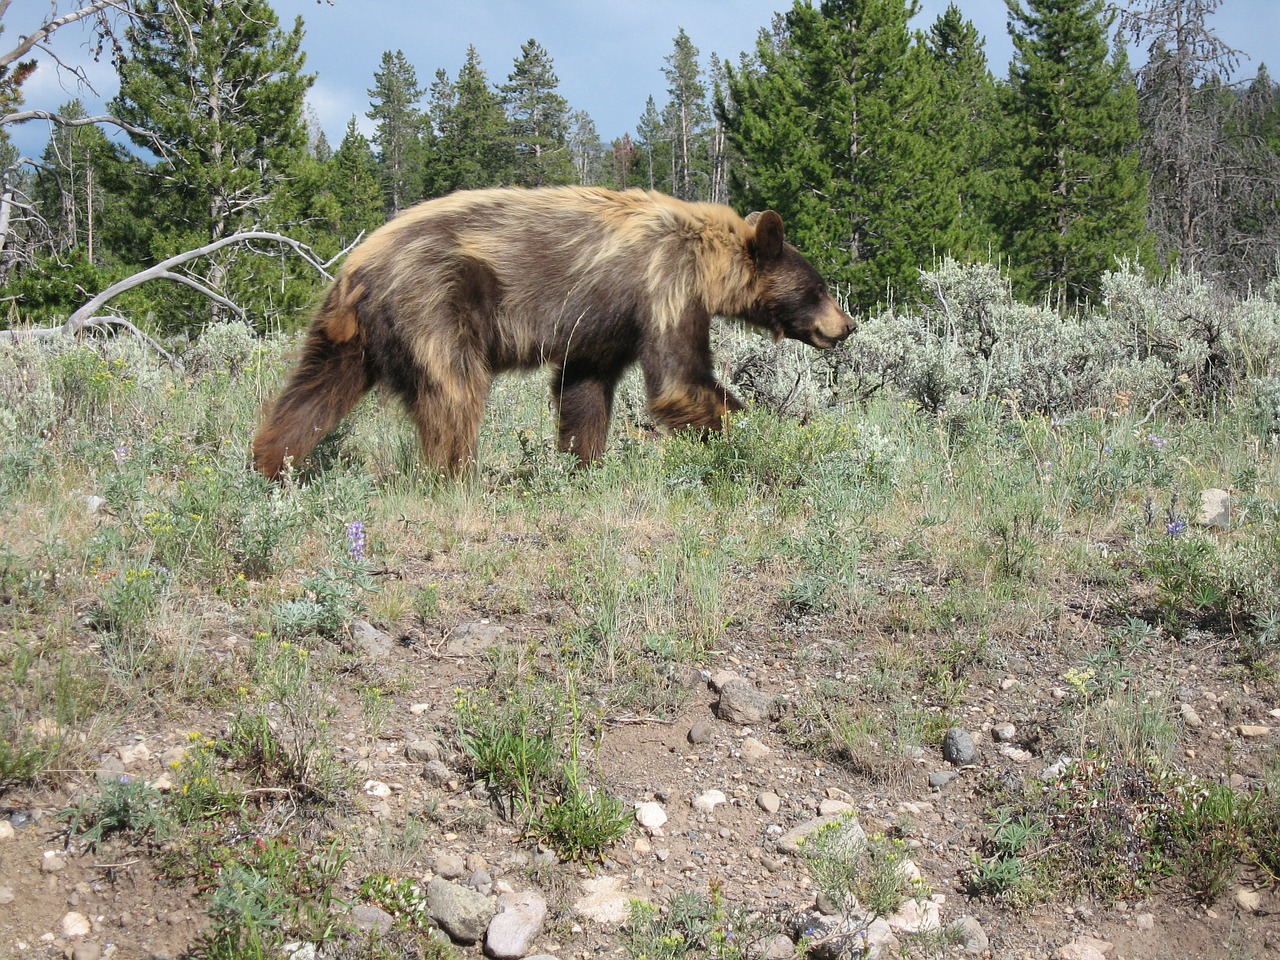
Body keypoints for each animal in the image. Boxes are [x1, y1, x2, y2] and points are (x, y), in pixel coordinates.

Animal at [252, 185, 849, 478]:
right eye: (819, 287)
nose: (846, 326)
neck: (706, 256)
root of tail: (358, 269)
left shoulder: (604, 324)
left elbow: (583, 387)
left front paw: (582, 463)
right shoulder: (665, 285)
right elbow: (679, 380)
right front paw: (765, 435)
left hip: (346, 336)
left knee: (310, 395)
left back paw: (271, 466)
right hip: (434, 301)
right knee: (454, 390)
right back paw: (457, 477)